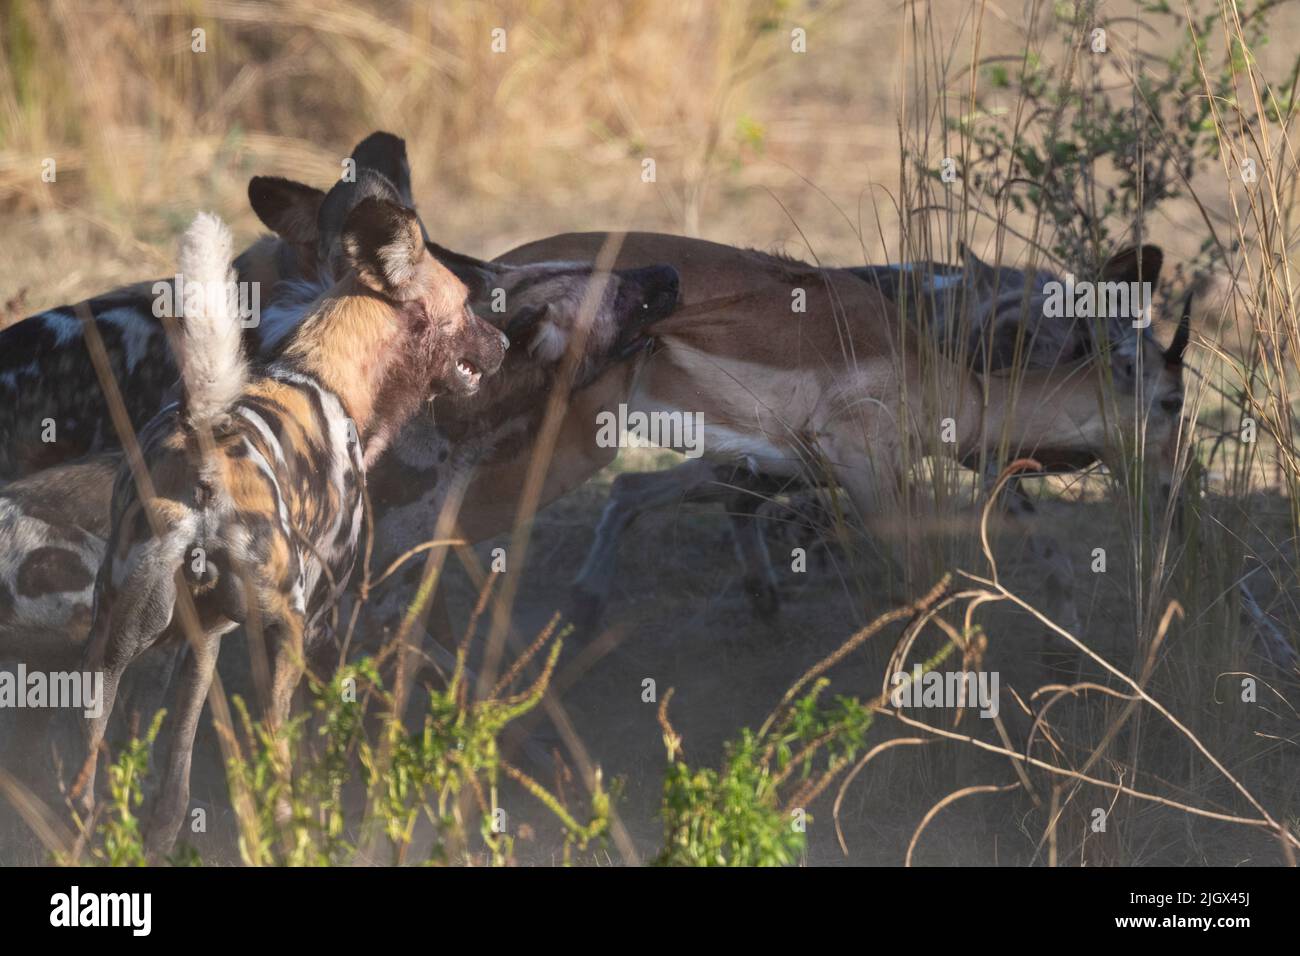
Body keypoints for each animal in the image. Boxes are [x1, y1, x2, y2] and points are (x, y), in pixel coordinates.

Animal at [78, 181, 507, 854]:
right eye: (465, 305)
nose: (505, 343)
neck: (323, 368)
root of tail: (204, 442)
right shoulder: (321, 628)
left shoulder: (203, 640)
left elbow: (172, 780)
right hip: (287, 631)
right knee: (279, 763)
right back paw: (296, 835)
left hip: (113, 643)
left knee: (84, 778)